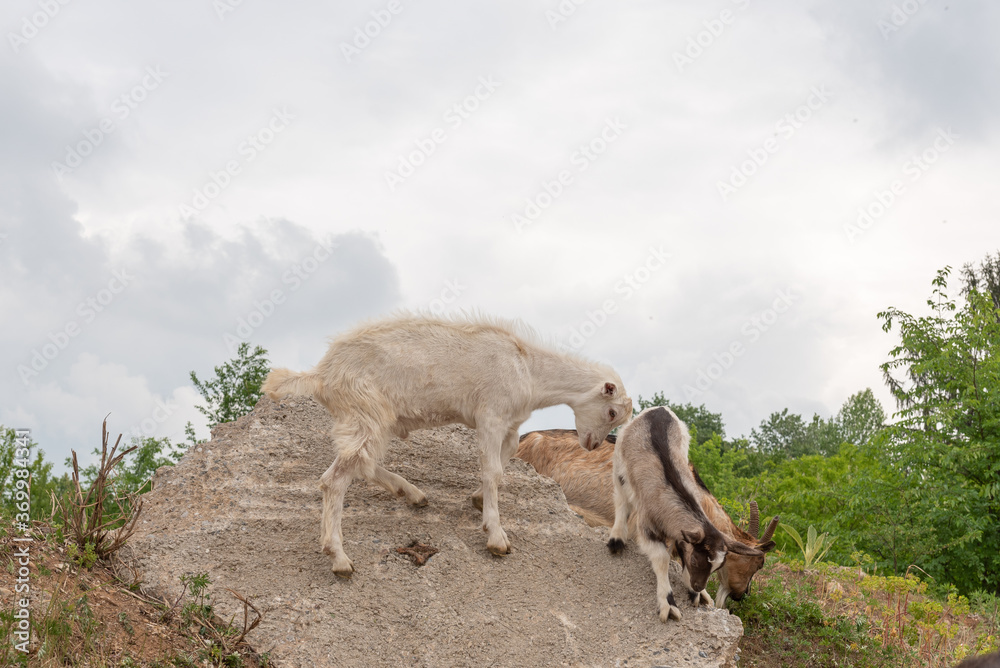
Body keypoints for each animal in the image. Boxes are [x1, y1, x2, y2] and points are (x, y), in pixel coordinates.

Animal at [262, 316, 628, 576]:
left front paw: (478, 499)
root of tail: (322, 375)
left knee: (362, 464)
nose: (593, 445)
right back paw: (339, 558)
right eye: (612, 411)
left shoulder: (510, 426)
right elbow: (493, 470)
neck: (529, 368)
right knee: (335, 479)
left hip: (372, 420)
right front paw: (496, 537)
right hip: (366, 412)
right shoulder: (491, 415)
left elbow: (504, 460)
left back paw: (412, 493)